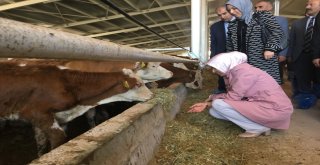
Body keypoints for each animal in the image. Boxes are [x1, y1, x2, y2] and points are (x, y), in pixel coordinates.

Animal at [0, 62, 152, 155]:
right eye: (138, 84)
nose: (151, 94)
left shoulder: (59, 119)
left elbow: (41, 143)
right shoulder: (36, 112)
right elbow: (58, 138)